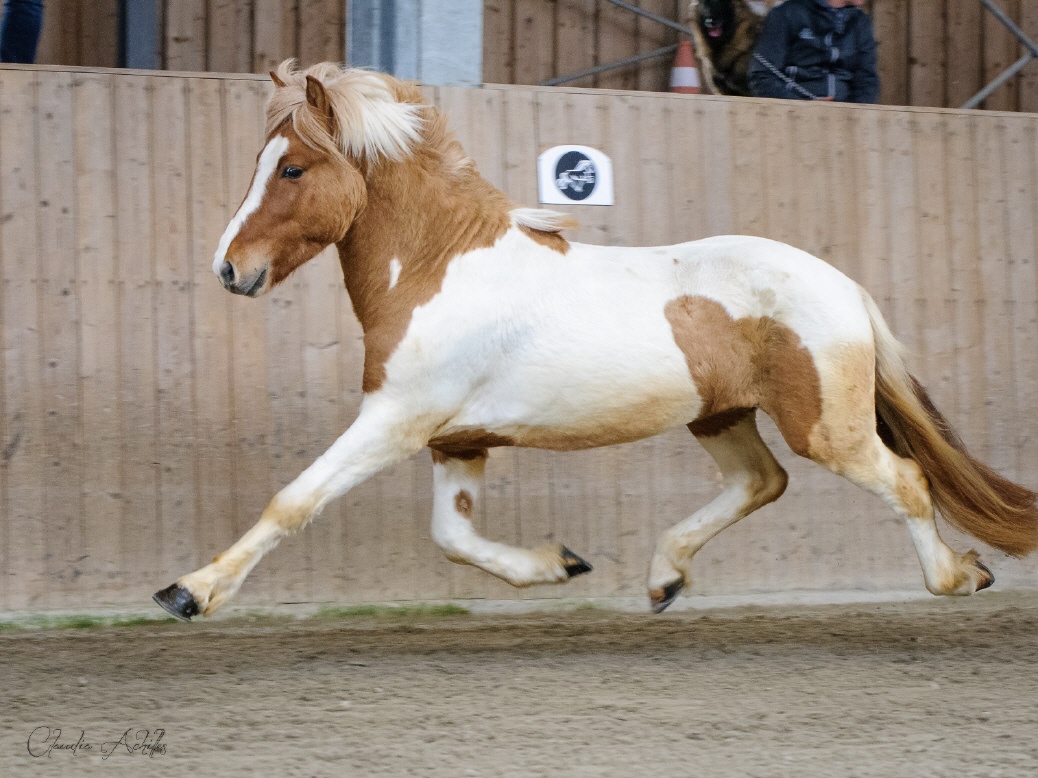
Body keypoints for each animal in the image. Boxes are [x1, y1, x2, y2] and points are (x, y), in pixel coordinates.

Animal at [150, 60, 1033, 622]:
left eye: (293, 169)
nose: (231, 269)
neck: (439, 269)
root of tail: (845, 287)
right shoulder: (456, 439)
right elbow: (453, 538)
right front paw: (557, 565)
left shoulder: (395, 420)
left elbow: (294, 499)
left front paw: (189, 592)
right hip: (720, 416)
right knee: (762, 482)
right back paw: (663, 580)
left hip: (827, 427)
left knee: (904, 480)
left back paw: (959, 576)